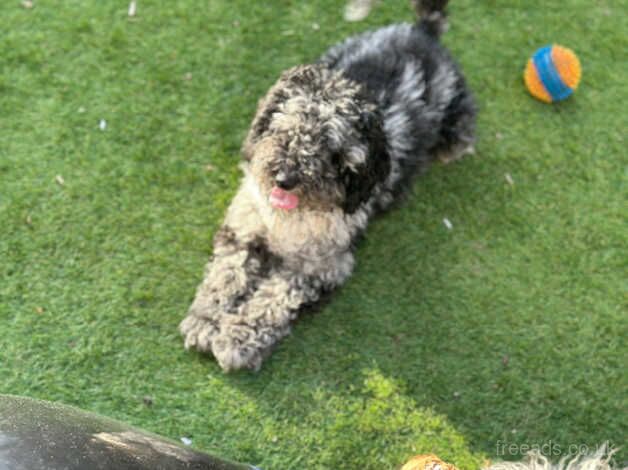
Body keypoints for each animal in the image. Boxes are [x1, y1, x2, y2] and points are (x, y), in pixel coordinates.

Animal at [179, 0, 474, 374]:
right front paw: (205, 321)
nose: (285, 178)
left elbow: (274, 300)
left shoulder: (320, 267)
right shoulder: (242, 230)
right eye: (287, 125)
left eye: (332, 150)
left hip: (456, 115)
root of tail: (423, 31)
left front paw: (238, 338)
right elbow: (225, 275)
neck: (291, 218)